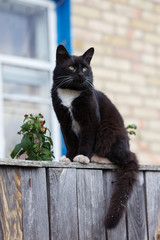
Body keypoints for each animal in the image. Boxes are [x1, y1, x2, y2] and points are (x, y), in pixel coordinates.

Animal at [51, 45, 139, 229]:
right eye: (72, 67)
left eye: (85, 68)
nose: (81, 74)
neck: (70, 94)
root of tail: (128, 148)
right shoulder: (64, 122)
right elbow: (69, 141)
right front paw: (69, 157)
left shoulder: (91, 120)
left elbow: (87, 139)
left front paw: (82, 157)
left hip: (108, 130)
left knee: (120, 157)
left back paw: (97, 157)